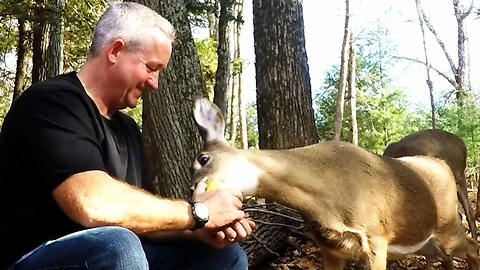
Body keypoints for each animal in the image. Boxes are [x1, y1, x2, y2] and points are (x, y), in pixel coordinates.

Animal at [189, 97, 478, 270]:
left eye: (203, 159)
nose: (193, 194)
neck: (325, 196)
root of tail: (442, 166)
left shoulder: (375, 237)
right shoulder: (330, 247)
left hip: (448, 225)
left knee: (472, 246)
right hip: (428, 239)